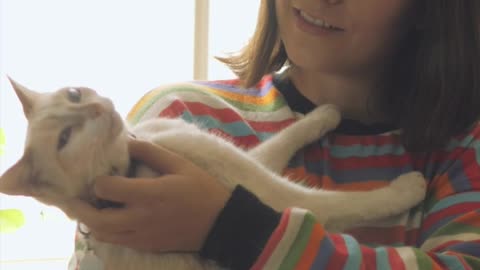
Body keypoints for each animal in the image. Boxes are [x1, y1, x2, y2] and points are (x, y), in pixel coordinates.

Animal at [0, 77, 426, 268]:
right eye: (65, 139)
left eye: (73, 95)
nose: (97, 108)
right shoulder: (271, 193)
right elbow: (344, 204)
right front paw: (408, 189)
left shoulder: (245, 164)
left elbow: (285, 139)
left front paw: (325, 113)